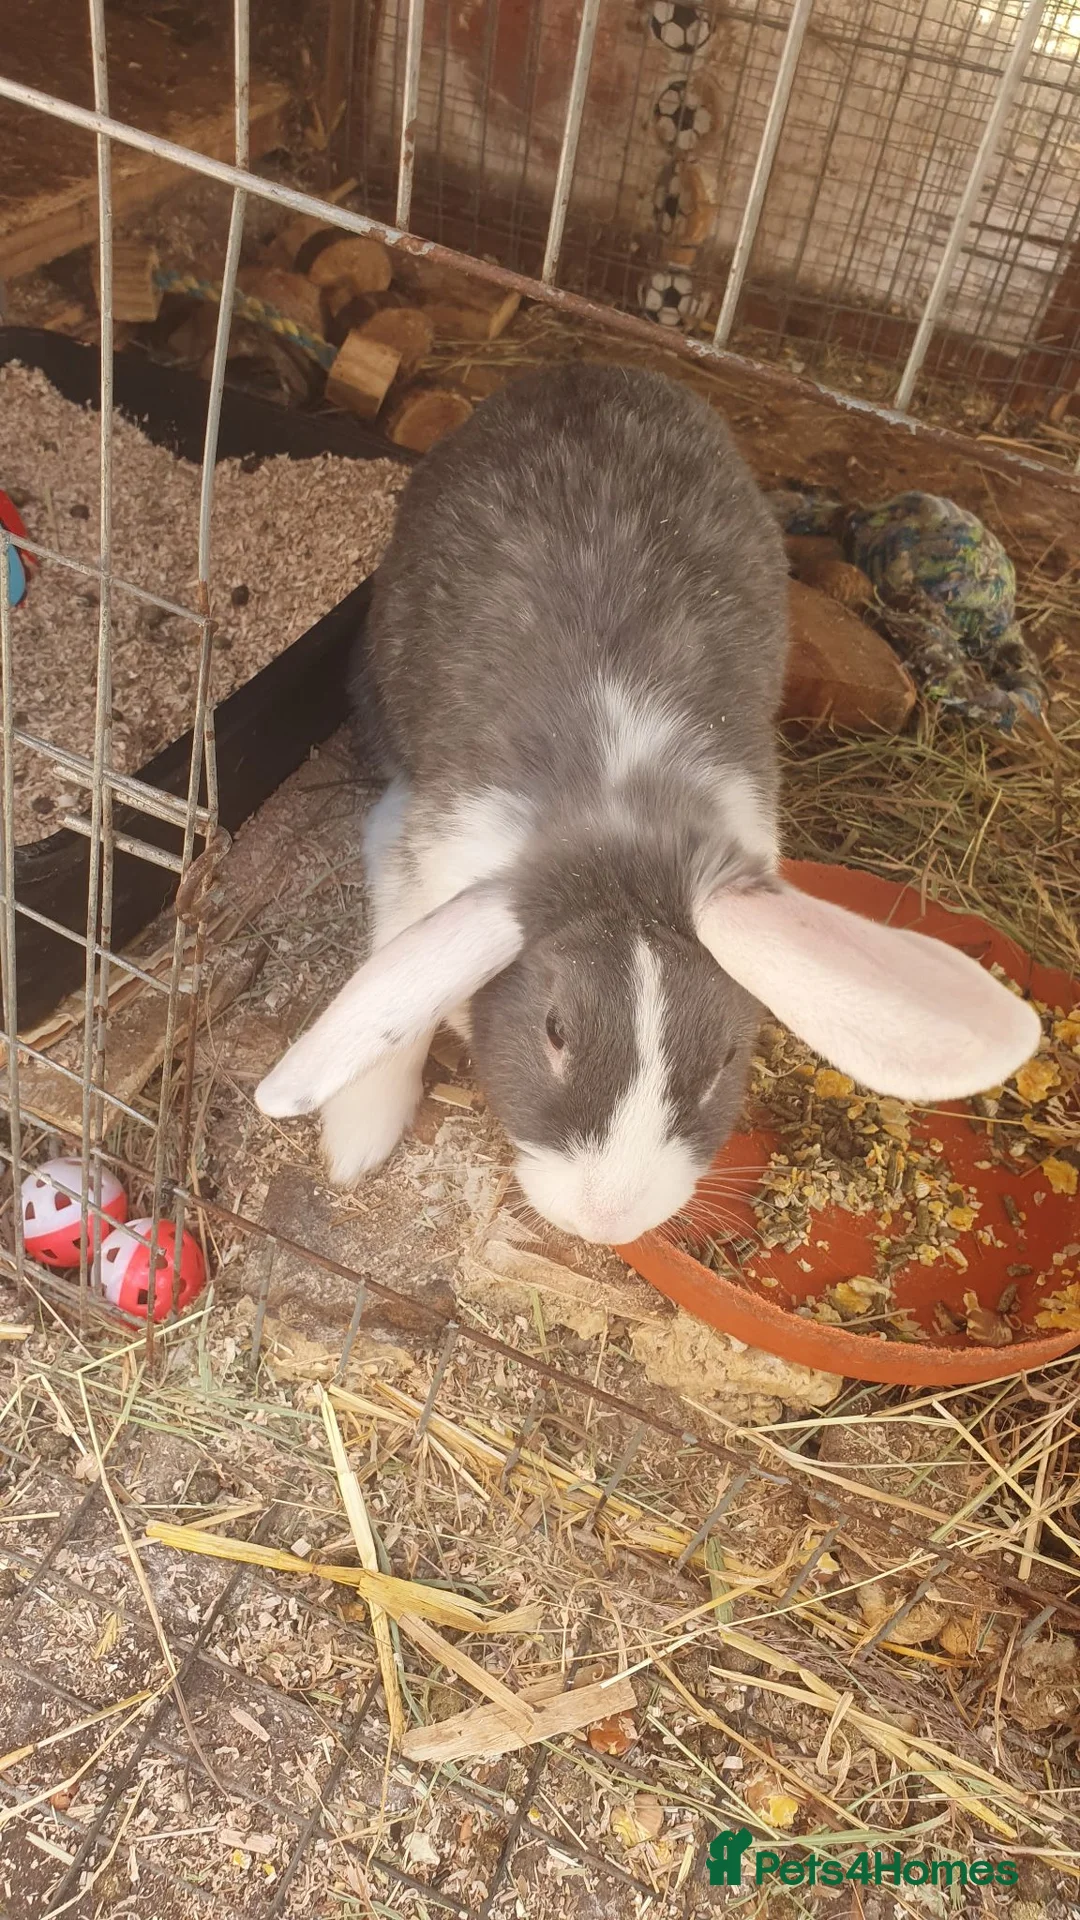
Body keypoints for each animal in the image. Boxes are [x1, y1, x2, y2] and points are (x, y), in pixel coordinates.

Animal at [256, 363, 1040, 1246]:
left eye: (725, 1059)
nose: (608, 1220)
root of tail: (582, 371)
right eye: (555, 1031)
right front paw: (358, 1144)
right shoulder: (415, 861)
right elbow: (396, 1008)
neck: (620, 815)